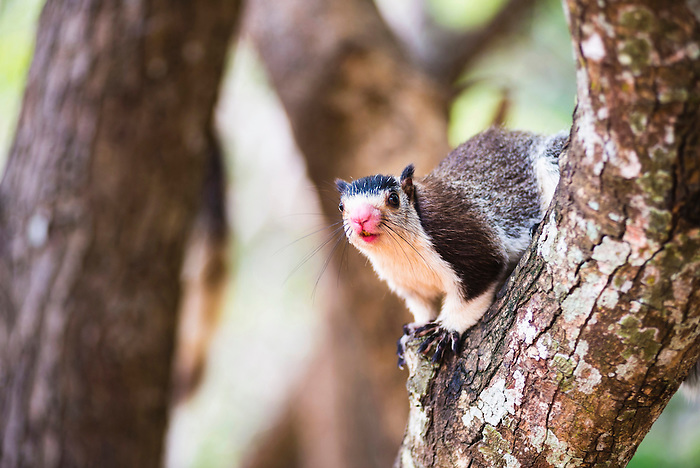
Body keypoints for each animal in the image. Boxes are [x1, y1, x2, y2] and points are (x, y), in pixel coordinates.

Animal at [335, 127, 568, 365]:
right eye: (341, 206)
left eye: (393, 199)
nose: (360, 218)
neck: (400, 254)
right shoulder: (409, 284)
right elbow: (423, 309)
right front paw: (411, 331)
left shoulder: (467, 246)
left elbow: (473, 290)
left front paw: (445, 330)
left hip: (551, 156)